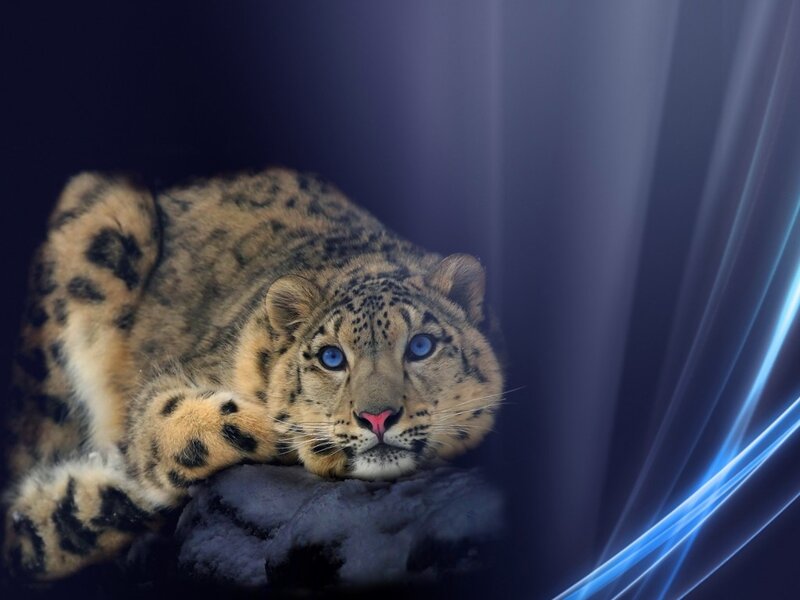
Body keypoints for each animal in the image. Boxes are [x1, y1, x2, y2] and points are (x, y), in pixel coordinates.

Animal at [0, 167, 504, 580]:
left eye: (421, 346)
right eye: (332, 357)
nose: (376, 417)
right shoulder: (166, 383)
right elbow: (172, 427)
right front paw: (290, 433)